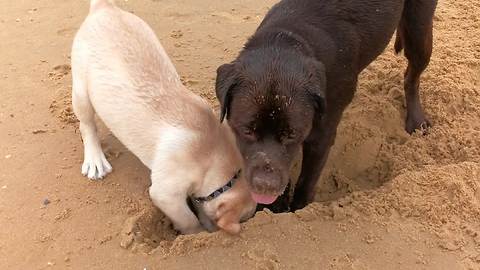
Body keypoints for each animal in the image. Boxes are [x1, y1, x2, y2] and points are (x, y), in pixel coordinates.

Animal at [71, 0, 255, 234]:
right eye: (246, 217)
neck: (211, 155)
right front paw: (194, 233)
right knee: (87, 125)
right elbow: (188, 219)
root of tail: (105, 7)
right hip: (81, 90)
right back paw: (95, 160)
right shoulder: (166, 192)